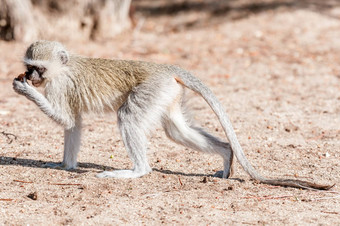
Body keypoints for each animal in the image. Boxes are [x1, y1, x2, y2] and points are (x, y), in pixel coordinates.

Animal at [13, 40, 332, 189]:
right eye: (29, 65)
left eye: (38, 68)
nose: (31, 76)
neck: (62, 69)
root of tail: (165, 69)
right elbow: (74, 124)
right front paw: (65, 166)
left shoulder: (59, 86)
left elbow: (66, 119)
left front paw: (24, 90)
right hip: (166, 94)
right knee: (177, 131)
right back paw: (226, 155)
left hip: (152, 90)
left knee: (128, 117)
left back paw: (137, 171)